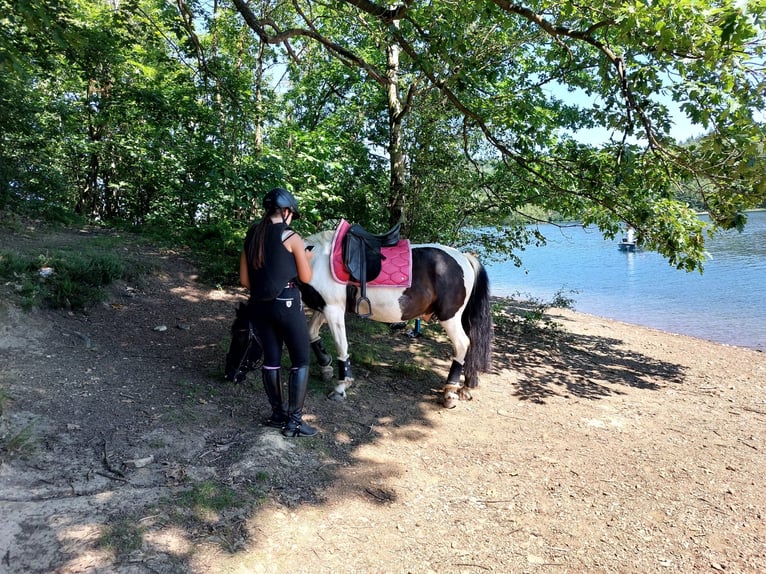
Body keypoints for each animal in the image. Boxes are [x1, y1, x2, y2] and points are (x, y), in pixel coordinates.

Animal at [296, 222, 496, 410]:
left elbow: (341, 346)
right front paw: (325, 365)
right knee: (472, 343)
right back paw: (466, 387)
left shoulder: (333, 309)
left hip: (450, 317)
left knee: (462, 344)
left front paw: (341, 387)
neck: (314, 259)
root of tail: (465, 258)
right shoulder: (323, 307)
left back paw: (449, 392)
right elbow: (312, 333)